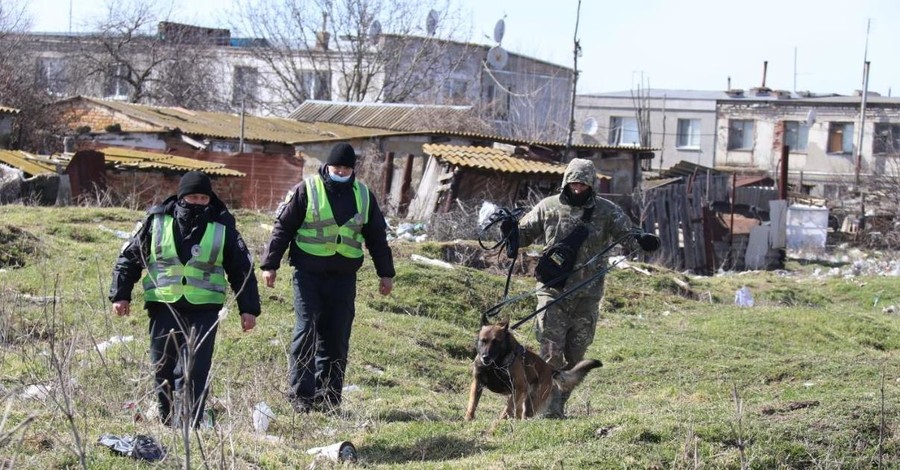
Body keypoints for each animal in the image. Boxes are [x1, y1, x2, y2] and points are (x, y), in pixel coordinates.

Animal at [464, 322, 604, 420]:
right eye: (483, 341)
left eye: (496, 342)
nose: (485, 357)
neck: (495, 365)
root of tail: (550, 369)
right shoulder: (477, 383)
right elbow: (472, 404)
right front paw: (468, 419)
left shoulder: (518, 388)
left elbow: (507, 410)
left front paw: (499, 423)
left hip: (531, 400)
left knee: (524, 413)